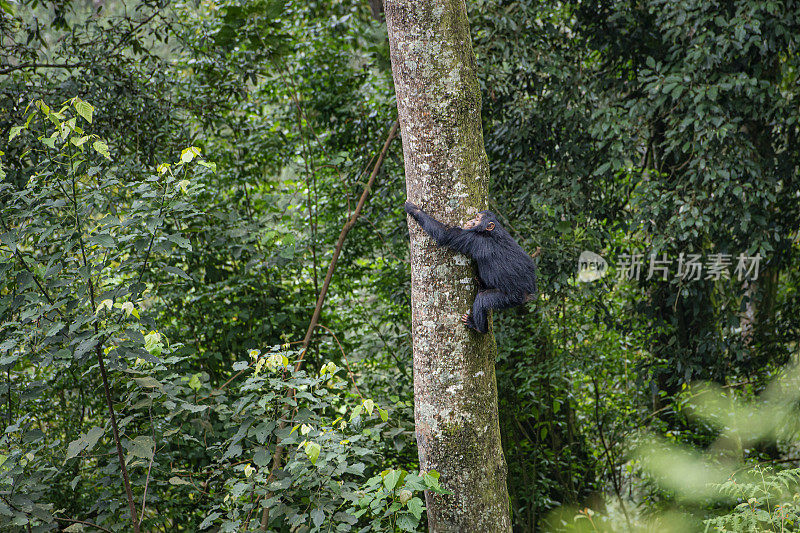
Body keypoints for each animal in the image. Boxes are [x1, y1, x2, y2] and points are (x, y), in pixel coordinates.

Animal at [406, 203, 536, 332]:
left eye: (477, 219)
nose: (471, 220)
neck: (490, 232)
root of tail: (528, 294)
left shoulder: (473, 238)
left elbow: (446, 234)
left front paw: (414, 209)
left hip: (510, 298)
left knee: (482, 300)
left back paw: (477, 327)